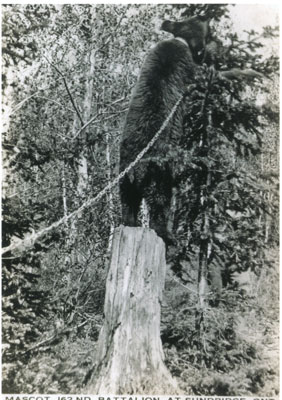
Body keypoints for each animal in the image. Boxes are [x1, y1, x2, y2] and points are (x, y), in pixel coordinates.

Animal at [119, 15, 209, 244]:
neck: (181, 40)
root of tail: (138, 167)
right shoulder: (187, 68)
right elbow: (195, 81)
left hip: (124, 171)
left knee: (127, 200)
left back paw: (129, 222)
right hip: (159, 172)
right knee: (160, 200)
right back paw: (167, 234)